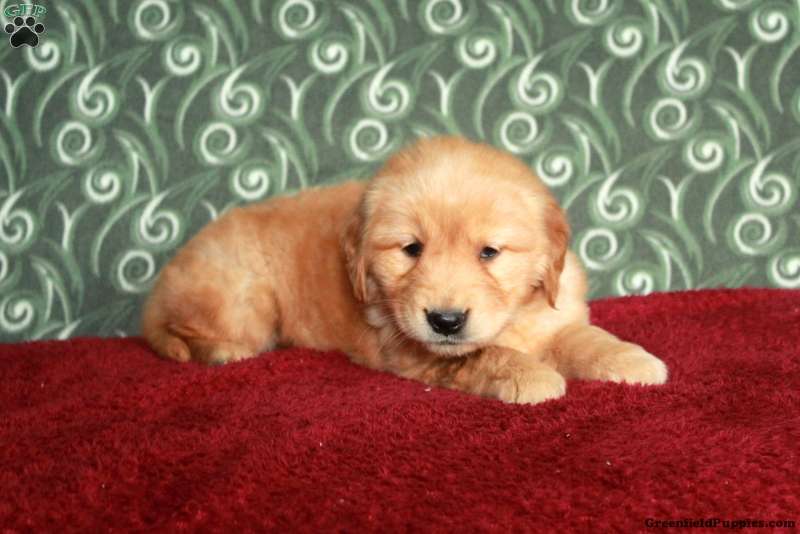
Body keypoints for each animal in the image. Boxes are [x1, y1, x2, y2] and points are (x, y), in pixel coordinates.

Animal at [142, 136, 667, 404]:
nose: (446, 321)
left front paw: (633, 361)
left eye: (489, 253)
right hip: (242, 301)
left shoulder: (558, 314)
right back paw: (221, 352)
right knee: (184, 332)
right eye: (411, 249)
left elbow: (585, 338)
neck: (513, 317)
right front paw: (532, 377)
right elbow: (484, 355)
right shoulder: (409, 349)